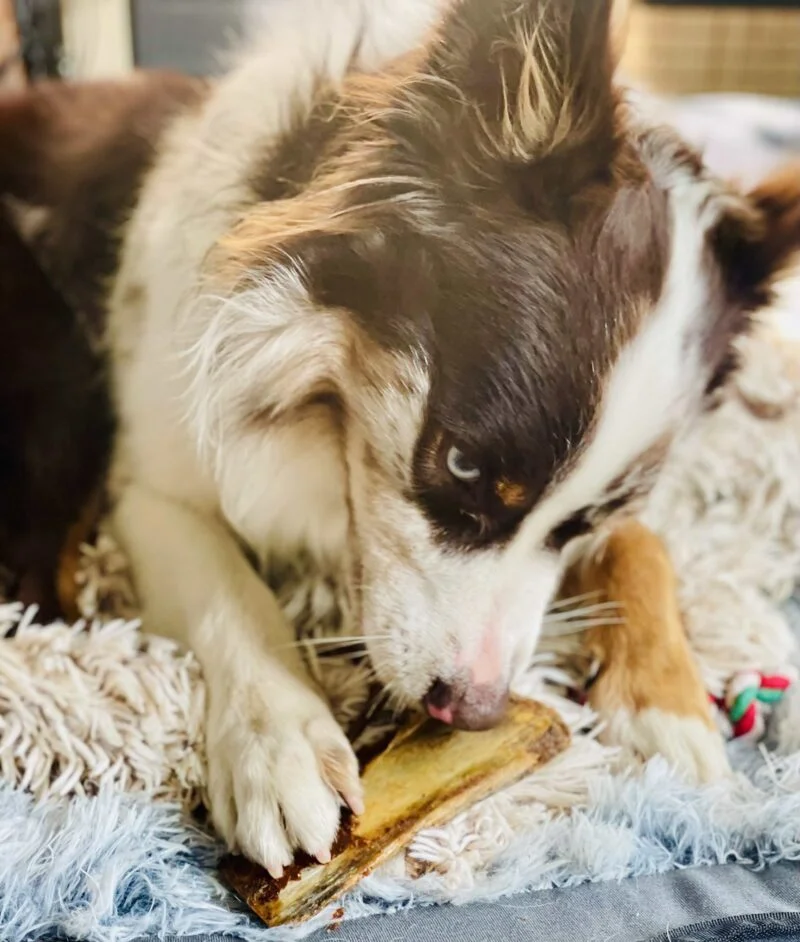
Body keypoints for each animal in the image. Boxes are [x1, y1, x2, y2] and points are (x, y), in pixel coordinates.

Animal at [1, 0, 800, 876]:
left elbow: (643, 546)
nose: (475, 711)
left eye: (588, 518)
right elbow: (230, 590)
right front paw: (280, 743)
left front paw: (669, 705)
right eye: (460, 463)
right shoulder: (150, 484)